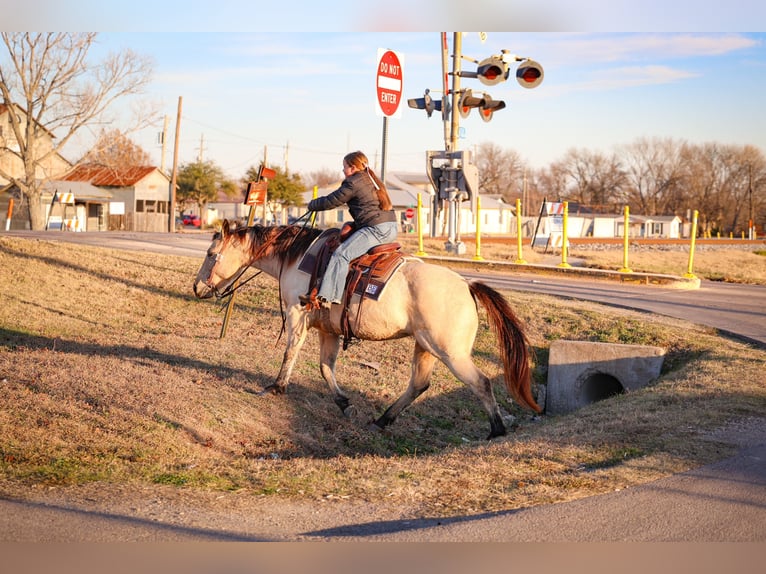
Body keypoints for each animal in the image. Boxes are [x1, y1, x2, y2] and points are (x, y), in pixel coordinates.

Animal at [193, 220, 540, 439]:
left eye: (211, 255)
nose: (197, 287)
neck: (298, 256)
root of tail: (467, 286)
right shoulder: (328, 329)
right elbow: (325, 367)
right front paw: (343, 402)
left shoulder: (296, 314)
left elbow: (291, 351)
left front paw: (276, 388)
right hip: (425, 347)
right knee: (419, 384)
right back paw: (383, 419)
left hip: (450, 353)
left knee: (481, 383)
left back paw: (496, 430)